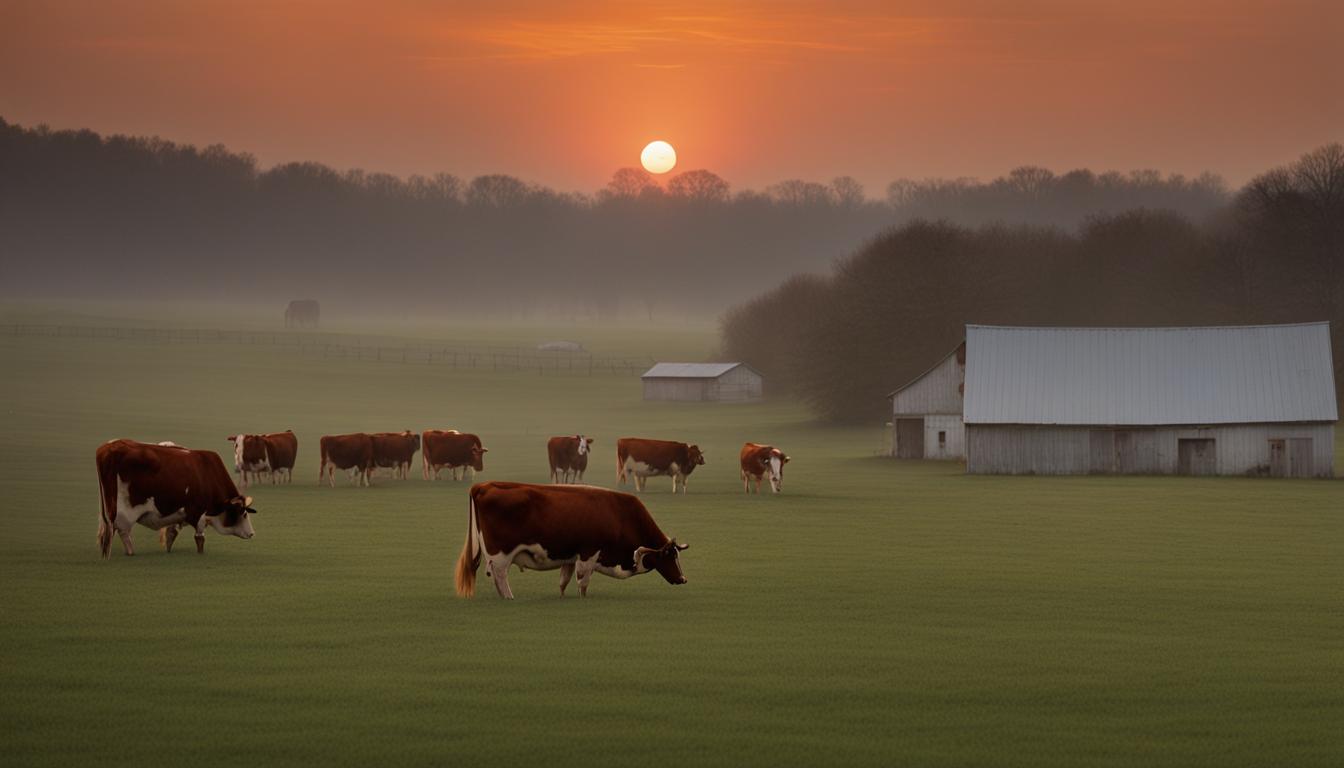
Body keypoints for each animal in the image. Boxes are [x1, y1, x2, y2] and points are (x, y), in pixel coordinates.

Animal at [95, 439, 257, 558]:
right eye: (244, 514)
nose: (251, 533)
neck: (208, 473)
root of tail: (110, 447)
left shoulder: (178, 515)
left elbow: (171, 534)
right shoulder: (199, 514)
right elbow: (199, 538)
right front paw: (200, 553)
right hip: (123, 512)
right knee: (124, 532)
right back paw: (131, 552)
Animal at [454, 482, 689, 599]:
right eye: (669, 555)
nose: (683, 579)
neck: (620, 515)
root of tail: (484, 485)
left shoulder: (570, 557)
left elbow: (563, 581)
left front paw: (562, 597)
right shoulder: (589, 553)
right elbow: (583, 581)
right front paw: (582, 598)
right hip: (500, 554)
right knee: (501, 575)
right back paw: (509, 597)